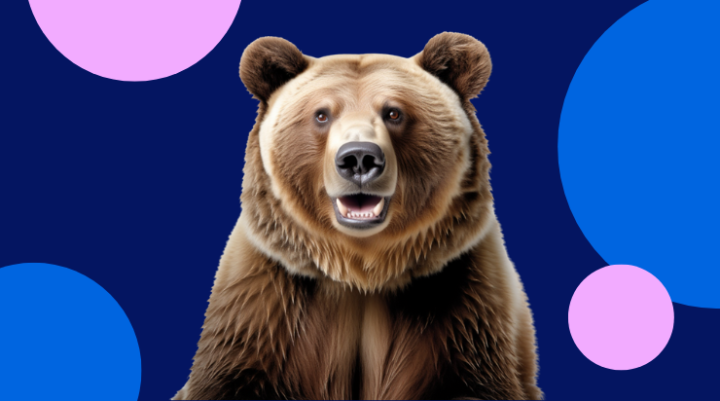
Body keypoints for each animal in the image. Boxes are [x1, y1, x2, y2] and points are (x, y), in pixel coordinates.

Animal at [173, 32, 542, 400]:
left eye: (393, 112)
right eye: (322, 115)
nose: (359, 158)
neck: (361, 272)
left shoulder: (462, 307)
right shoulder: (263, 307)